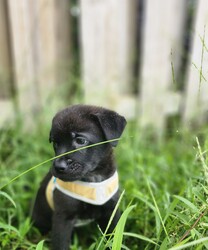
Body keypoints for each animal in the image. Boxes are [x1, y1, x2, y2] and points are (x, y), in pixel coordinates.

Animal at [32, 104, 127, 249]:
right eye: (55, 143)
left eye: (80, 140)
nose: (58, 167)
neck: (93, 178)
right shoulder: (63, 217)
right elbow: (61, 244)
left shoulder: (111, 210)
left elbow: (114, 236)